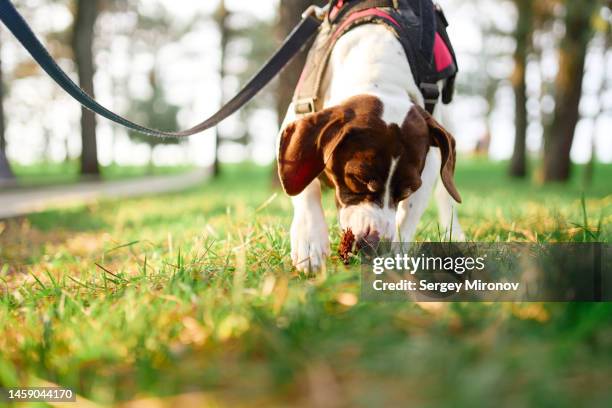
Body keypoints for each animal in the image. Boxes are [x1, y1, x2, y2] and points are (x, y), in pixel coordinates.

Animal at [276, 22, 464, 270]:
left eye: (408, 189)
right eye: (358, 179)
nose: (375, 244)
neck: (380, 72)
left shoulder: (430, 159)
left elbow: (410, 212)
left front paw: (396, 256)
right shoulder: (300, 115)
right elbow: (304, 185)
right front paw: (310, 239)